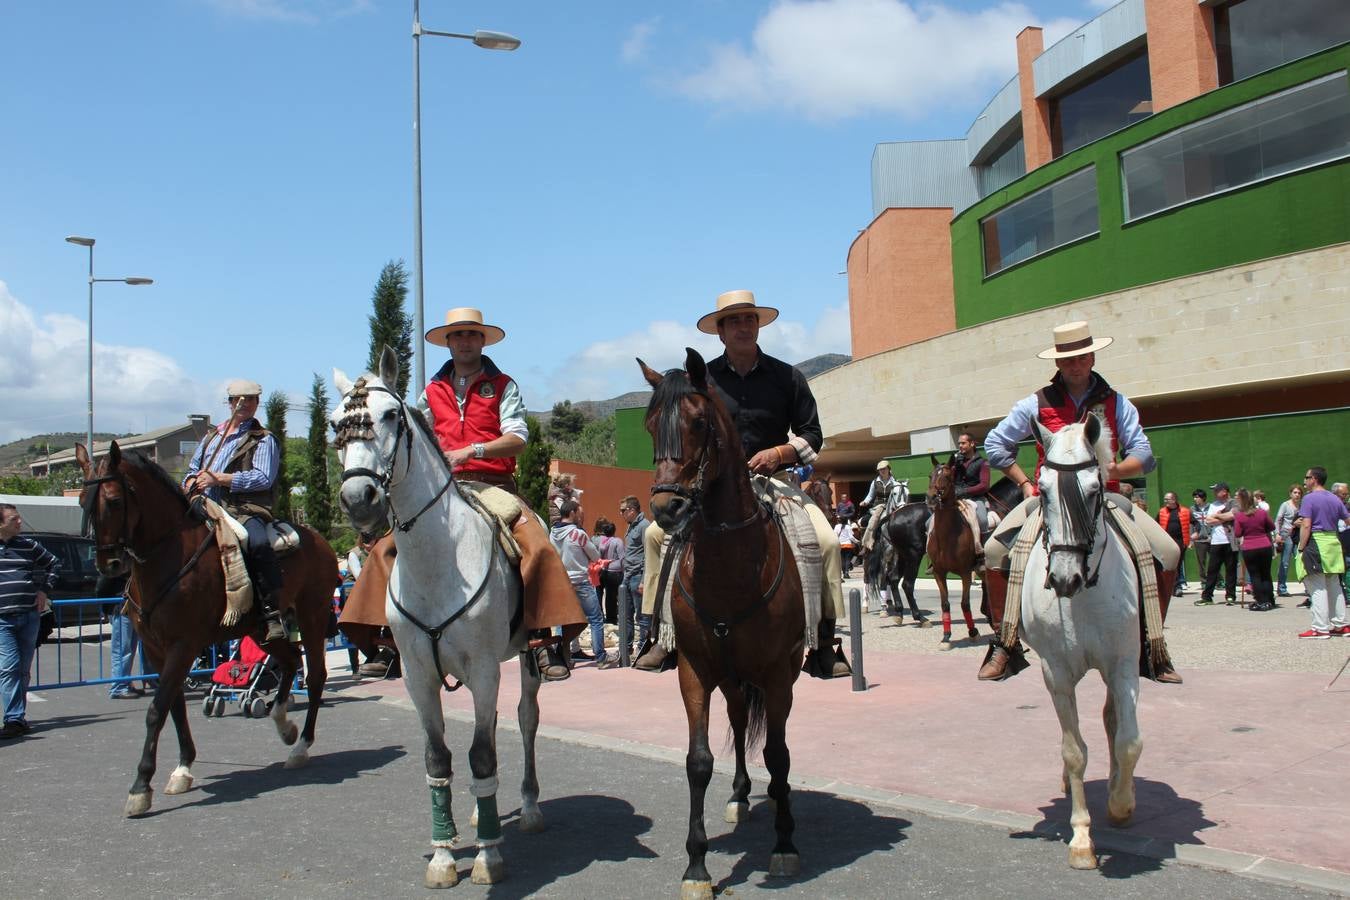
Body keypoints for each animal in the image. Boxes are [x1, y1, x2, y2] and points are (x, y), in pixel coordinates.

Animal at [76, 439, 337, 820]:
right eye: (83, 500)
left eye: (113, 500)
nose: (108, 564)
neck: (168, 556)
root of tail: (320, 541)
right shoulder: (156, 650)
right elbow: (174, 707)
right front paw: (182, 769)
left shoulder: (183, 645)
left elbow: (156, 711)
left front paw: (141, 788)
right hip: (262, 630)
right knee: (289, 662)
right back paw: (283, 723)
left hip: (312, 617)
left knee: (314, 675)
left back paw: (300, 746)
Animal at [330, 348, 542, 890]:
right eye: (337, 423)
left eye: (390, 415)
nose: (358, 499)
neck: (438, 560)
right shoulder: (418, 675)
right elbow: (438, 758)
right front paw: (445, 854)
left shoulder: (485, 668)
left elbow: (483, 754)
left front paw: (488, 857)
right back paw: (480, 811)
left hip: (526, 661)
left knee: (525, 719)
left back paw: (529, 808)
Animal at [639, 348, 804, 895]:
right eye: (650, 425)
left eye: (698, 422)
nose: (667, 507)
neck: (734, 567)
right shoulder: (695, 671)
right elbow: (699, 761)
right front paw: (697, 865)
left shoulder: (776, 674)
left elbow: (778, 753)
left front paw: (784, 844)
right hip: (731, 679)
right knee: (735, 719)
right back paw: (739, 795)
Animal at [923, 458, 988, 647]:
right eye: (930, 475)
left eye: (947, 476)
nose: (931, 497)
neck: (948, 535)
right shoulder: (939, 572)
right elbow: (945, 603)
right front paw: (946, 636)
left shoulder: (966, 573)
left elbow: (965, 603)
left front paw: (973, 632)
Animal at [1020, 418, 1139, 874]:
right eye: (1043, 490)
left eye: (1093, 491)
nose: (1063, 579)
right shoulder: (1055, 670)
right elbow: (1073, 752)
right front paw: (1082, 838)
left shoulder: (1124, 664)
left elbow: (1128, 740)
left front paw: (1121, 804)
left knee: (1111, 721)